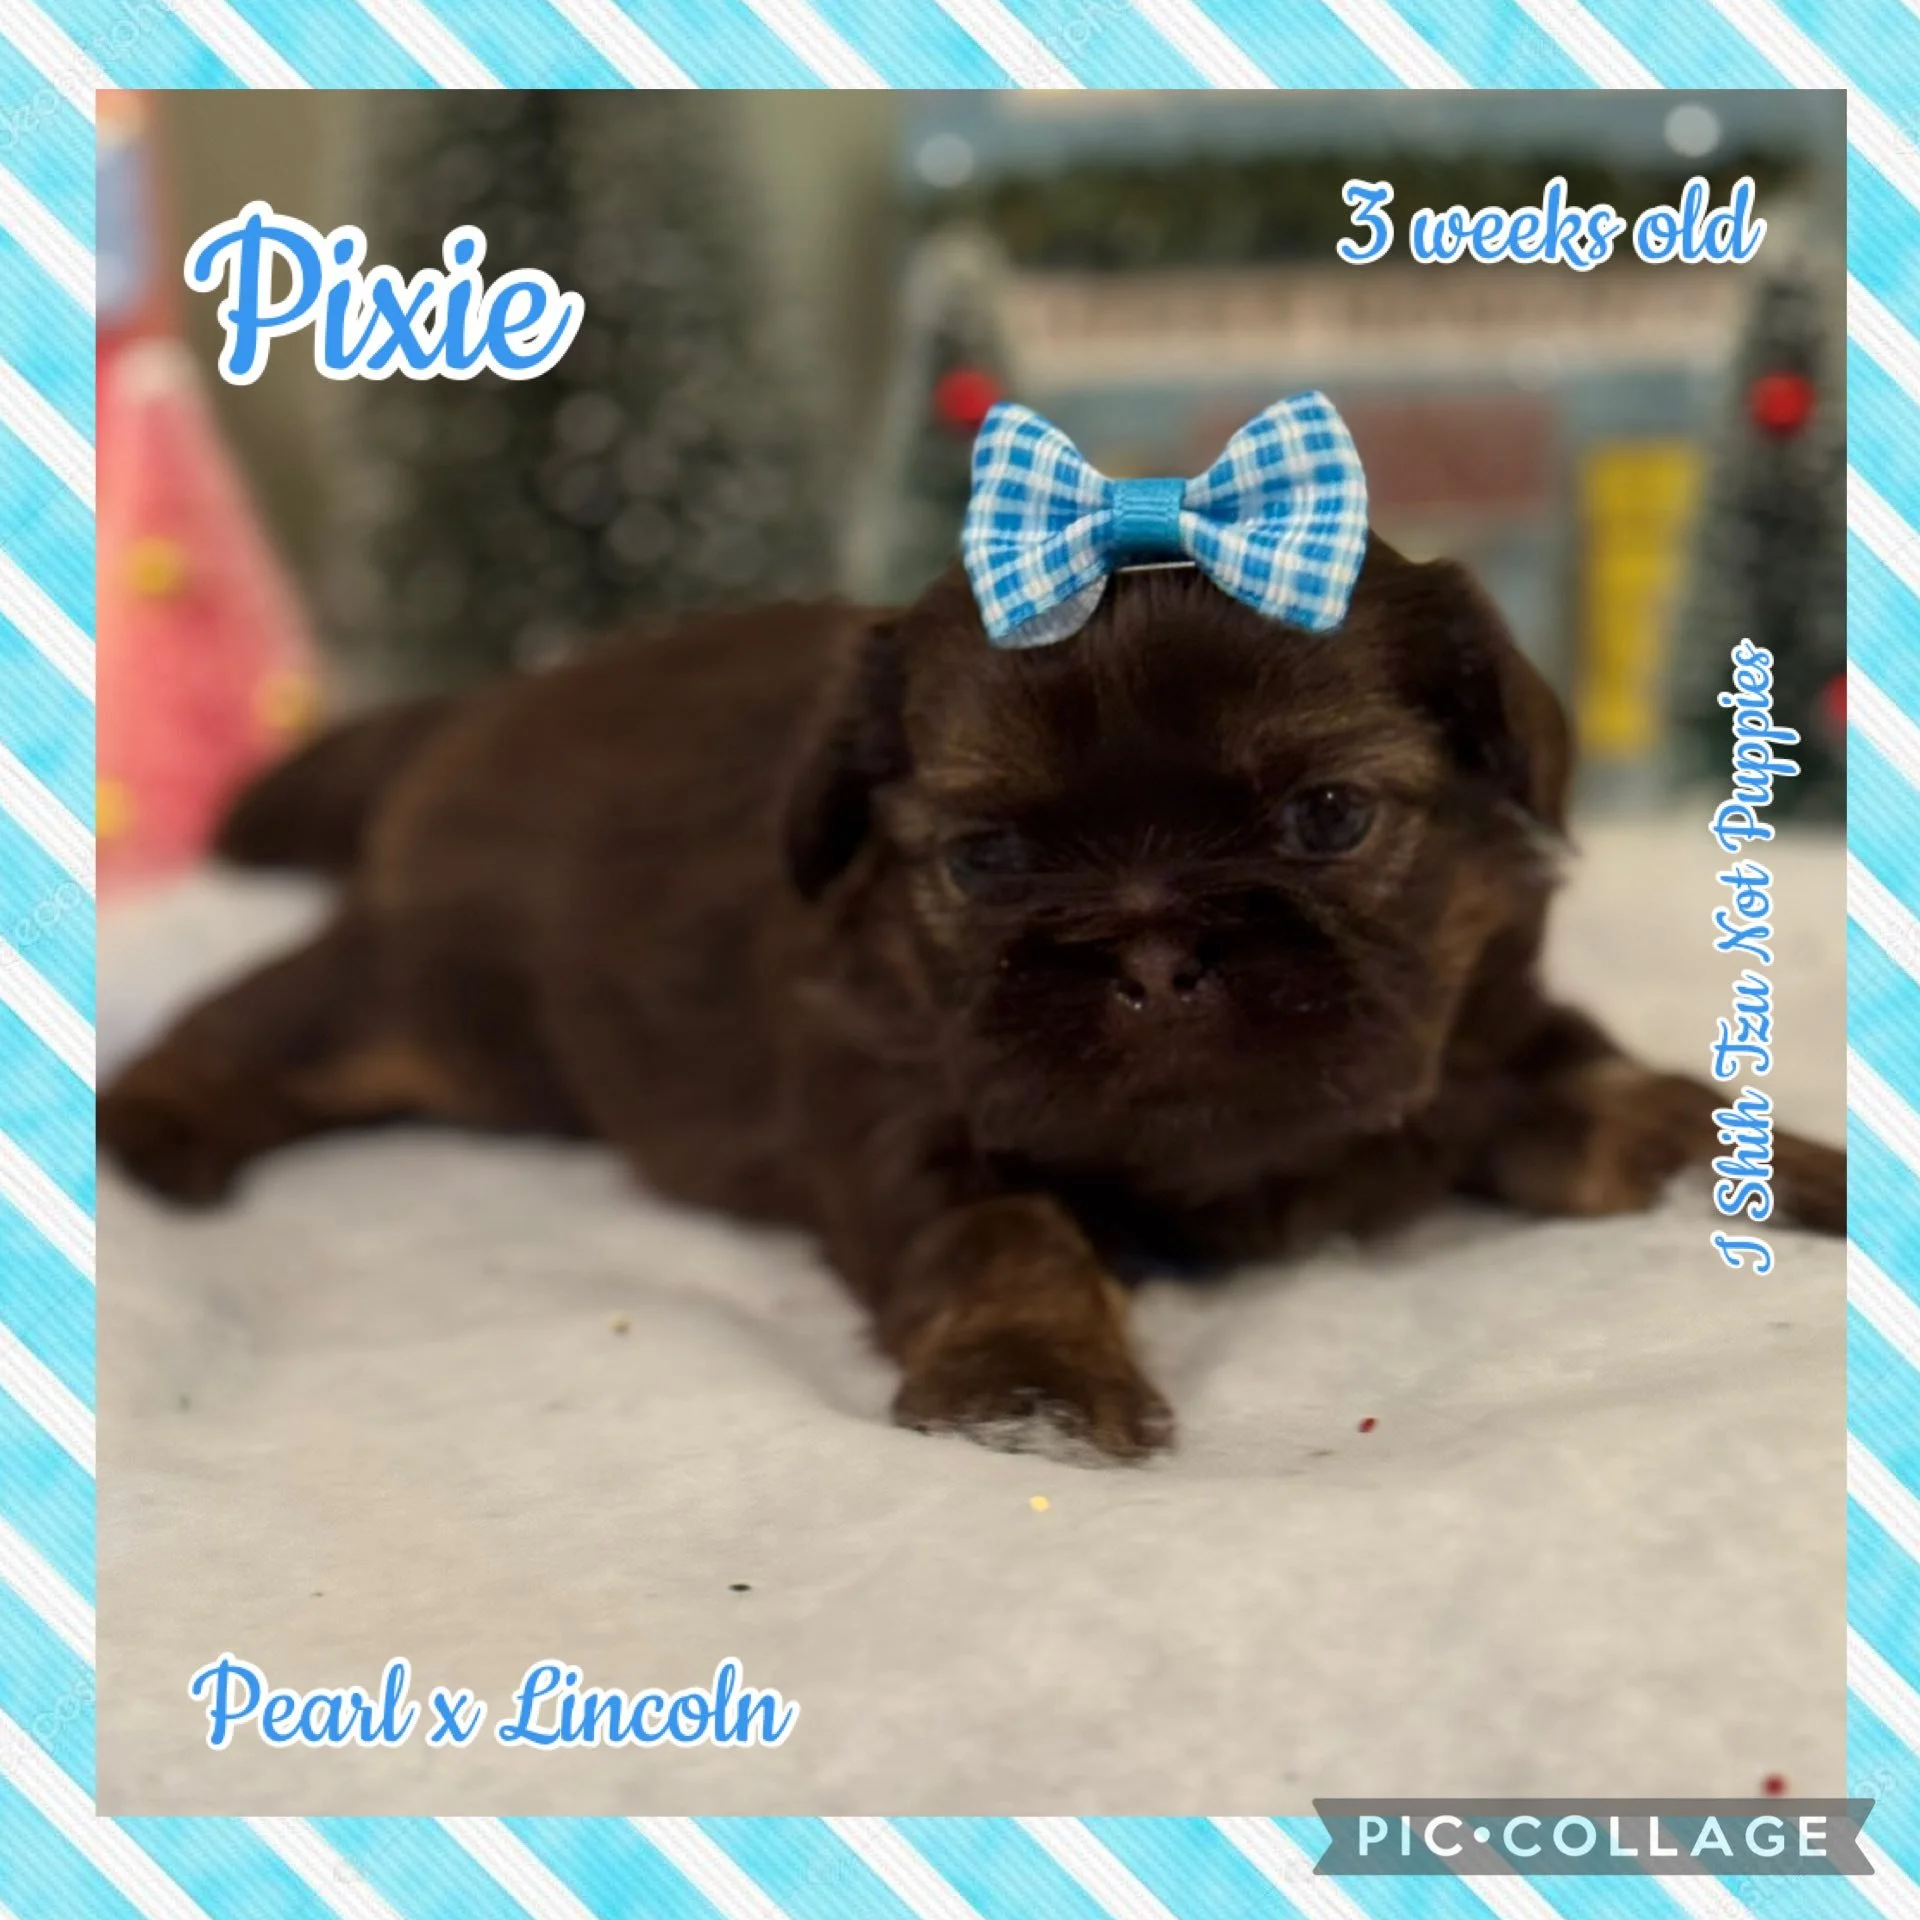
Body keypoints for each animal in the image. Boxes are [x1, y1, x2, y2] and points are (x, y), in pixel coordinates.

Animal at [101, 544, 1846, 1459]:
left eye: (1330, 818)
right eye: (991, 856)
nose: (1157, 953)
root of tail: (479, 706)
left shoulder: (1481, 1041)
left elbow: (1635, 1098)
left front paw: (1801, 1177)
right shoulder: (911, 1121)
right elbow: (1010, 1235)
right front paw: (1035, 1385)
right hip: (441, 1007)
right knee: (271, 1020)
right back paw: (160, 1129)